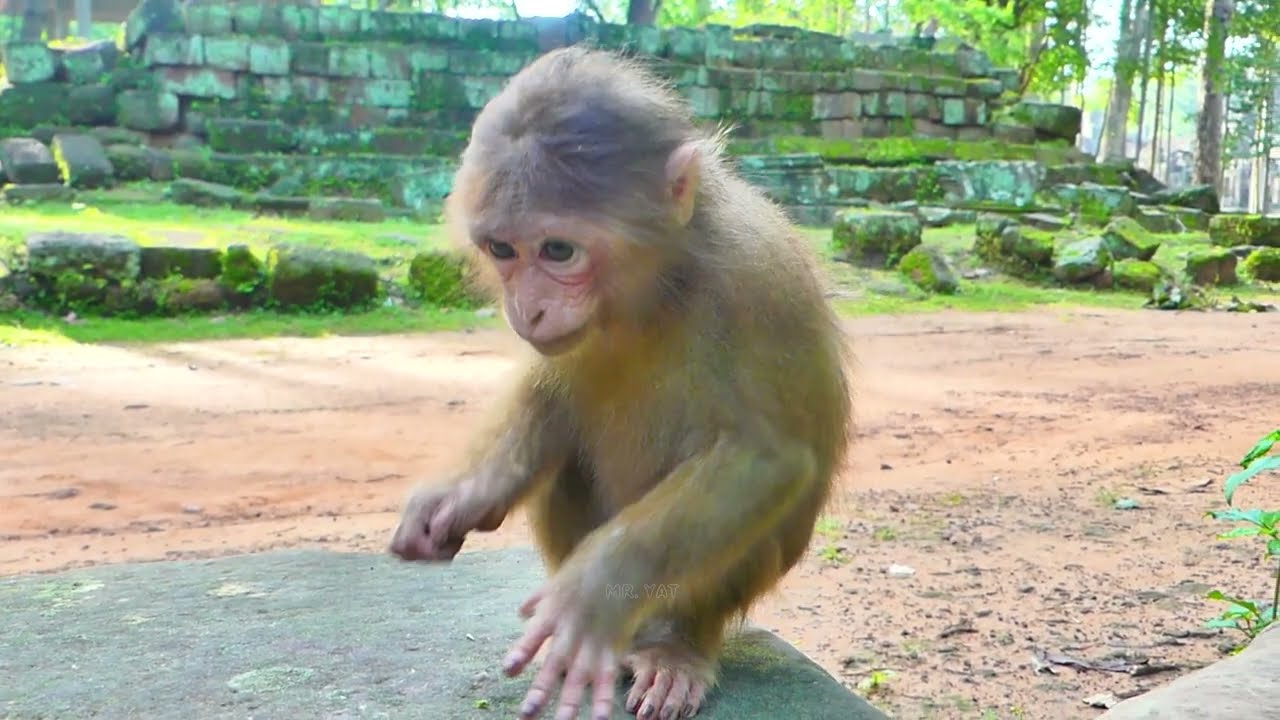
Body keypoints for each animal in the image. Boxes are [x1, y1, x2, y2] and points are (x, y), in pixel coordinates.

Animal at [389, 46, 853, 720]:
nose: (527, 308)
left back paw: (674, 645)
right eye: (502, 249)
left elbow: (766, 457)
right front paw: (471, 491)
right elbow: (552, 391)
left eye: (558, 251)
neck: (663, 286)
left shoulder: (758, 278)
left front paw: (596, 590)